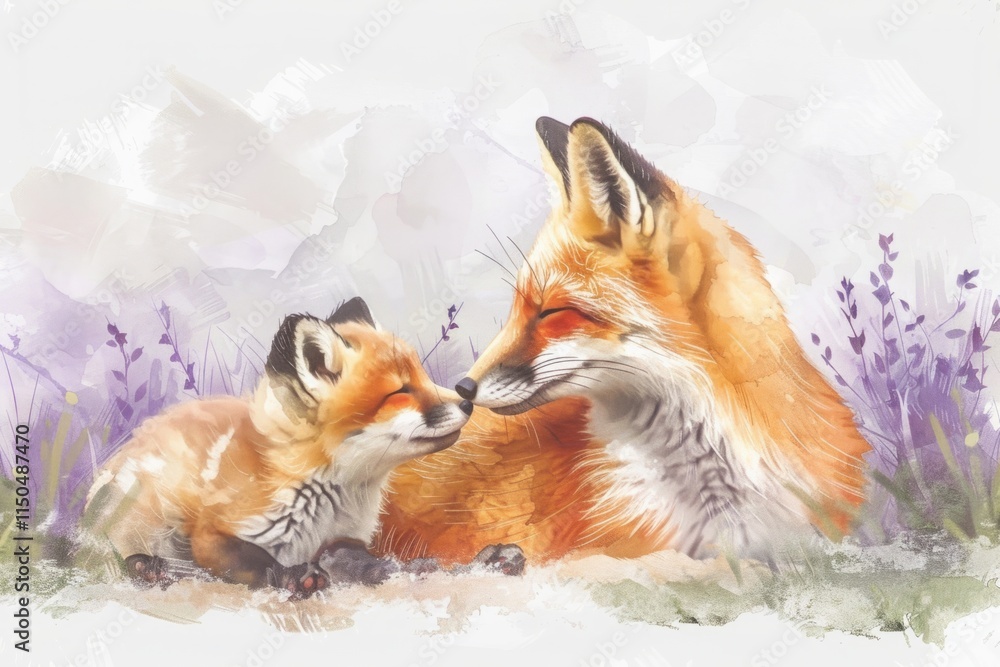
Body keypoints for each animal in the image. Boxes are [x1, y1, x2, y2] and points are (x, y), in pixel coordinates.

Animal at [84, 298, 520, 594]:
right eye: (400, 391)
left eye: (424, 377)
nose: (468, 402)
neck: (325, 496)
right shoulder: (212, 534)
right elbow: (256, 563)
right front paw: (292, 576)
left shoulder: (343, 539)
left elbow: (372, 564)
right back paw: (152, 568)